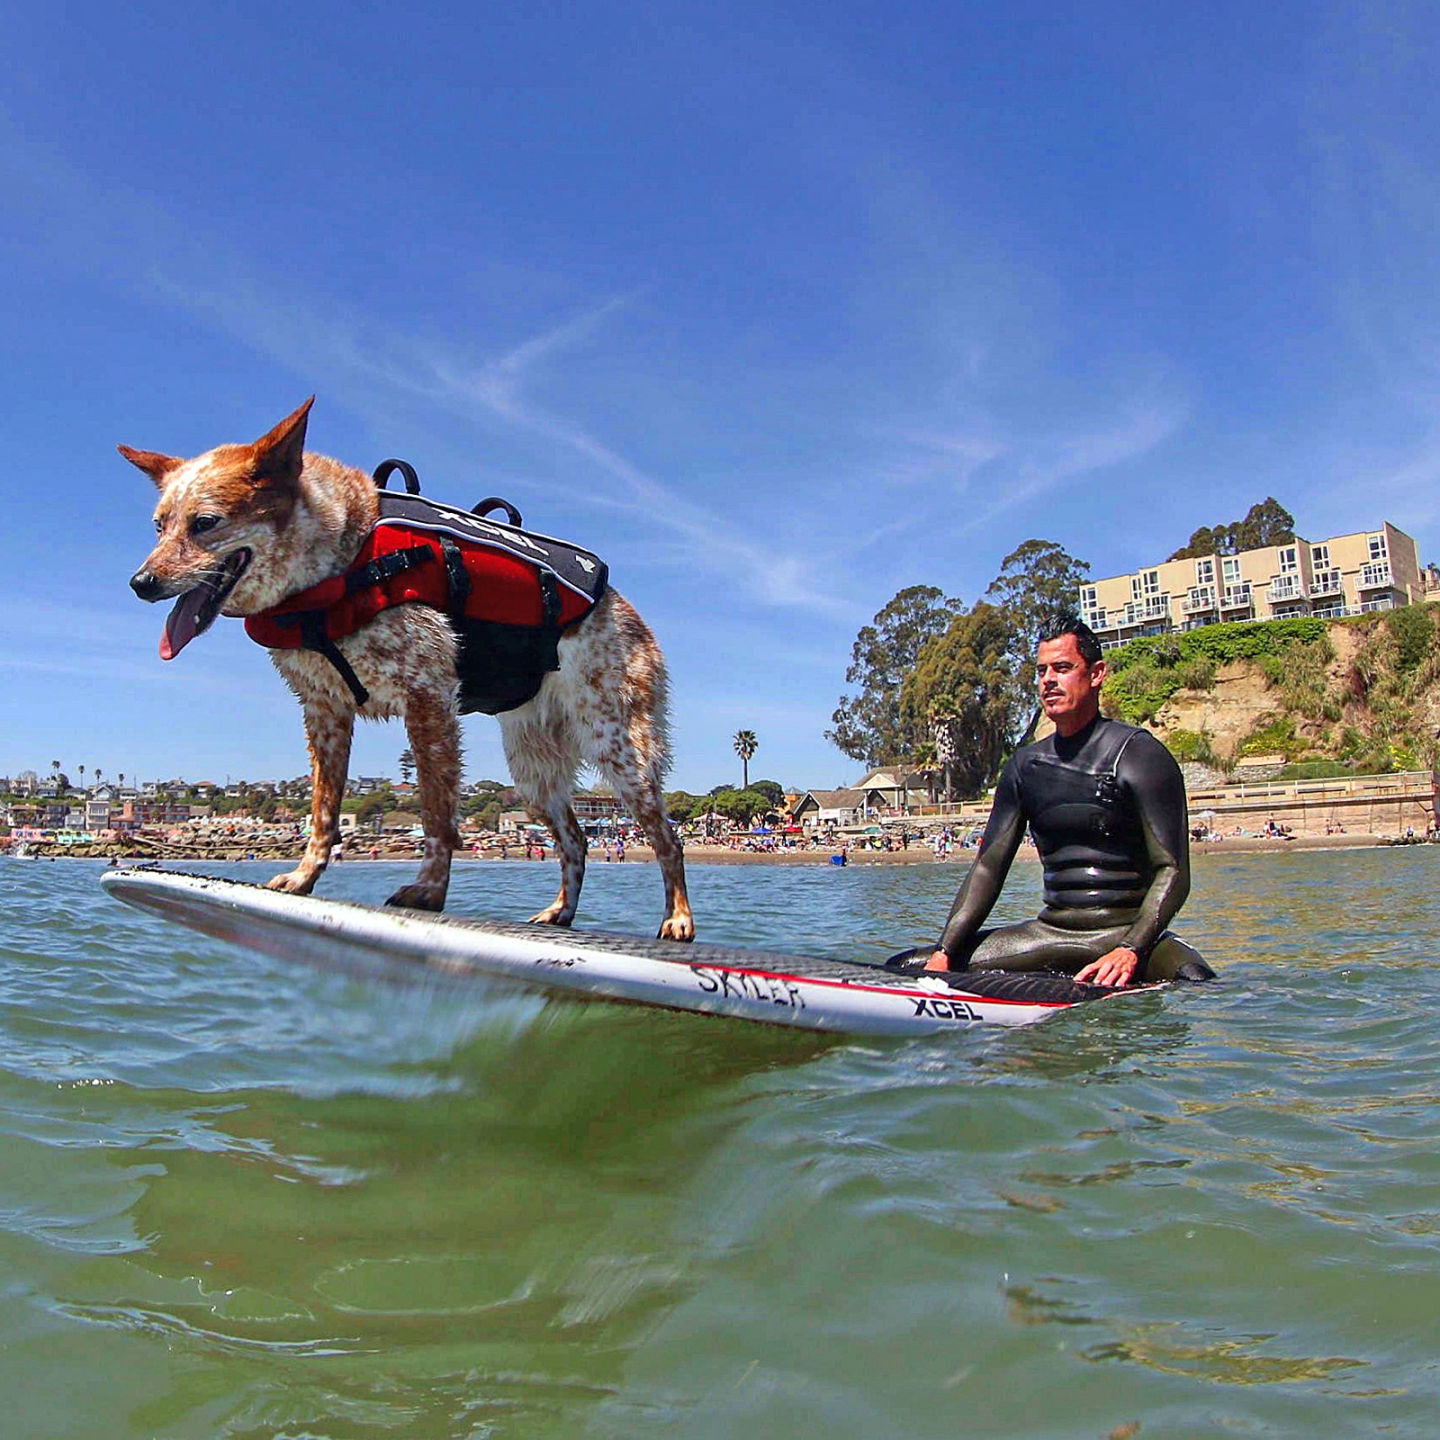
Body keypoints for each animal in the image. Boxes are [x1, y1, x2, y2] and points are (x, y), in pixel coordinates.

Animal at [120, 400, 694, 938]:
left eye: (205, 523)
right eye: (158, 526)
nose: (140, 583)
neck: (340, 563)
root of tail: (625, 607)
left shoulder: (427, 699)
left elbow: (437, 814)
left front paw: (431, 892)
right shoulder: (325, 712)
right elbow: (323, 812)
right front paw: (305, 879)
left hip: (618, 746)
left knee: (668, 836)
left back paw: (679, 919)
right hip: (532, 768)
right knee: (574, 841)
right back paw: (561, 912)